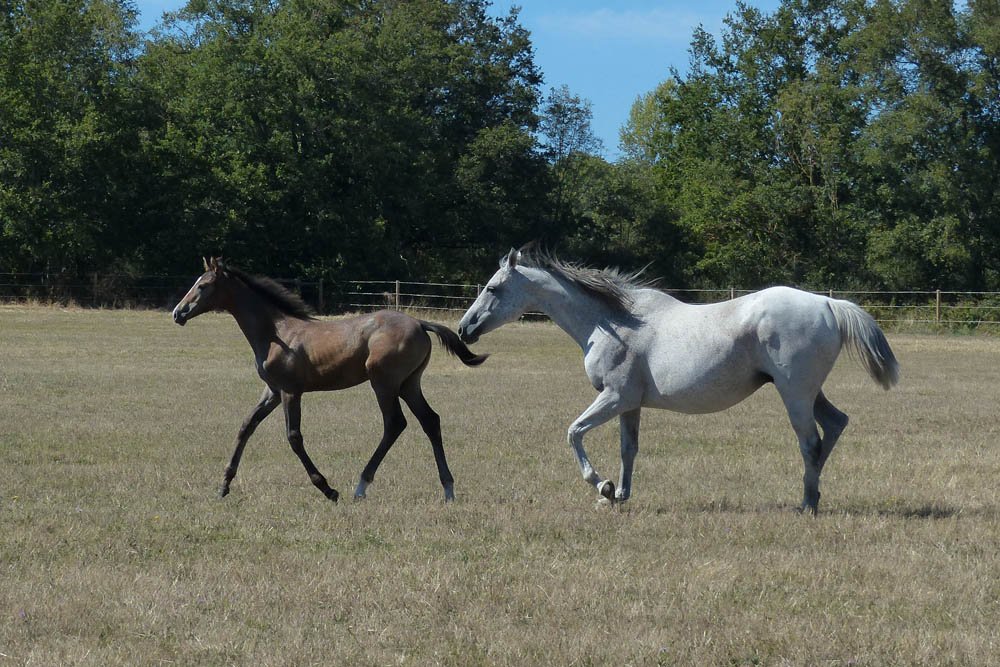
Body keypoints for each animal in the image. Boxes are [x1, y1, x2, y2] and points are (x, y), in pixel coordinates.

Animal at [172, 258, 487, 502]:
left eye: (203, 286)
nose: (178, 313)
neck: (276, 332)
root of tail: (420, 323)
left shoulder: (290, 391)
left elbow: (294, 437)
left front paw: (327, 489)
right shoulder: (272, 391)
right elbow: (246, 426)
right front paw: (223, 486)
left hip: (384, 383)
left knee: (395, 423)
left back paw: (361, 486)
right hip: (409, 384)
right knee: (430, 420)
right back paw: (448, 489)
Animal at [457, 247, 899, 513]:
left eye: (493, 288)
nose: (464, 328)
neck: (612, 322)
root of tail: (826, 303)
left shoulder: (613, 398)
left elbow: (574, 433)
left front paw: (601, 487)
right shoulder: (630, 405)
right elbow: (628, 450)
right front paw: (620, 495)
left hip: (795, 395)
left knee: (811, 442)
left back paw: (807, 503)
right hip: (808, 393)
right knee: (835, 425)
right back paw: (813, 494)